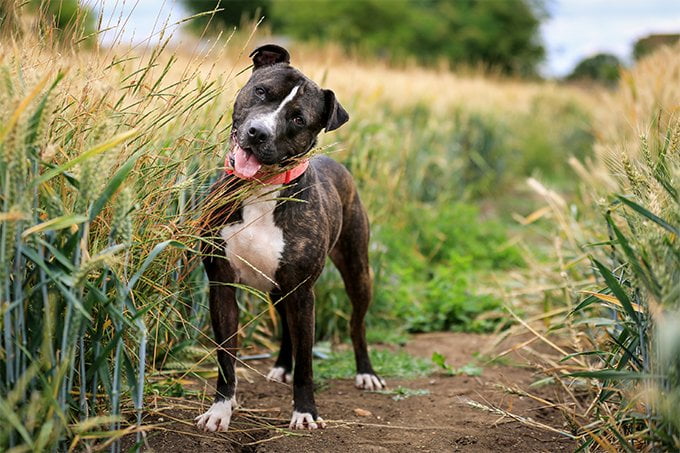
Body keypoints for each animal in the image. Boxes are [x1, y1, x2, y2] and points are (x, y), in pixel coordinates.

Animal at [197, 45, 386, 430]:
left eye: (298, 119)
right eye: (261, 92)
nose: (257, 132)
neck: (259, 188)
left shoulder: (303, 292)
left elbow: (307, 364)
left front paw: (305, 411)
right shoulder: (222, 284)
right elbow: (225, 356)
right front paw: (221, 408)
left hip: (357, 270)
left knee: (356, 324)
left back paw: (365, 372)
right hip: (277, 287)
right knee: (286, 325)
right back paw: (282, 365)